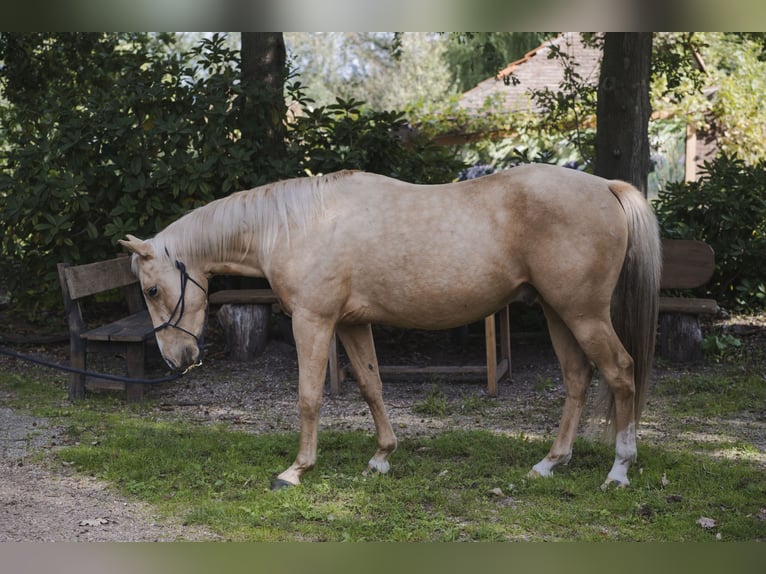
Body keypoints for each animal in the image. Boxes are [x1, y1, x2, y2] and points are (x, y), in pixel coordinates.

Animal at [119, 163, 661, 490]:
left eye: (151, 290)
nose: (176, 359)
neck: (296, 225)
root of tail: (605, 187)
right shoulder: (351, 325)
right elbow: (372, 386)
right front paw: (382, 456)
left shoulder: (314, 323)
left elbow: (308, 397)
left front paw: (297, 469)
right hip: (557, 312)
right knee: (577, 379)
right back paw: (550, 462)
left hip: (583, 314)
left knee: (620, 372)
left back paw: (619, 470)